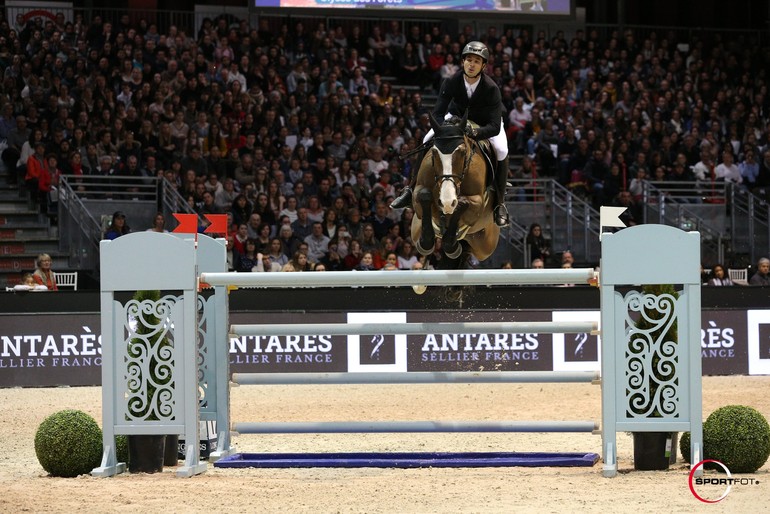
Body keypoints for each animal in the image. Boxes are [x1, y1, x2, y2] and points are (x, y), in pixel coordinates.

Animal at [408, 113, 498, 272]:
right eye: (434, 152)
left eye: (461, 152)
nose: (447, 202)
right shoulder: (418, 191)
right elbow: (424, 194)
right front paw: (427, 242)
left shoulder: (477, 202)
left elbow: (462, 202)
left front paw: (451, 245)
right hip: (415, 228)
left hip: (485, 244)